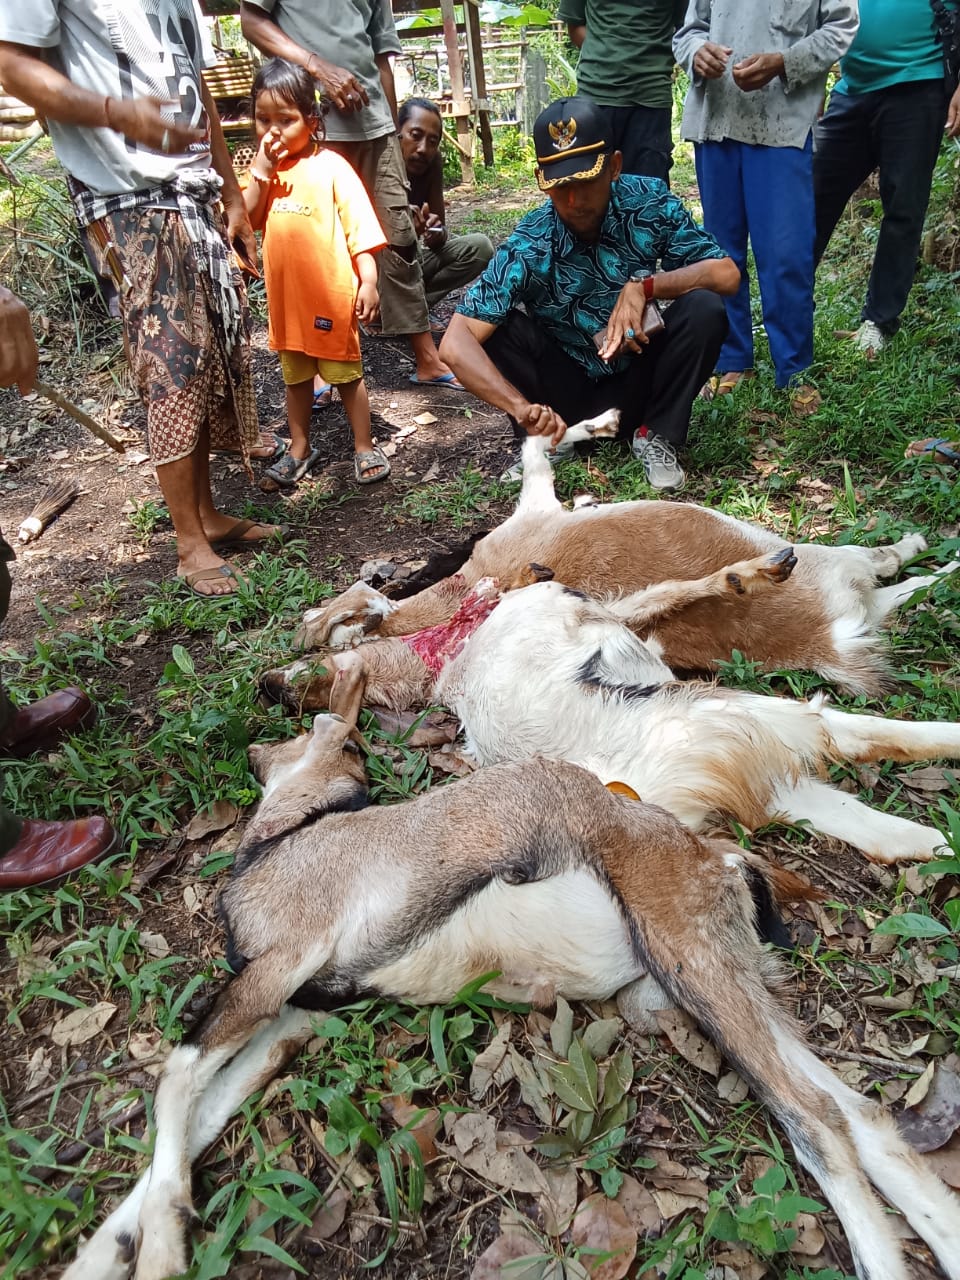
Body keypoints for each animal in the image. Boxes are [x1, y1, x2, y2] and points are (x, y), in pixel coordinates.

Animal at [64, 665, 957, 1274]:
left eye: (332, 733)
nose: (258, 742)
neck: (290, 838)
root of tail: (718, 855)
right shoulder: (293, 1013)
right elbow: (201, 1109)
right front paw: (108, 1247)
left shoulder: (280, 966)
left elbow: (176, 1078)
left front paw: (161, 1251)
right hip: (720, 981)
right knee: (860, 1115)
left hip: (692, 961)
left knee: (820, 1122)